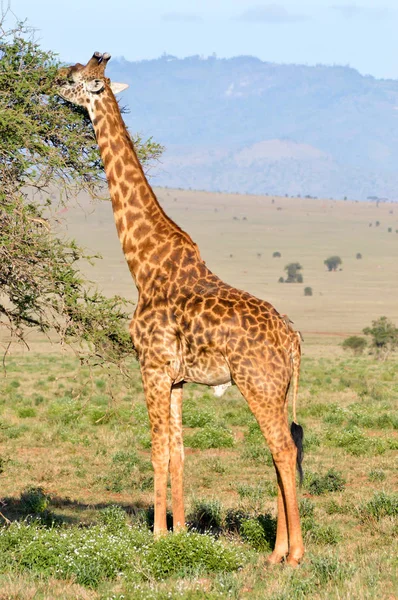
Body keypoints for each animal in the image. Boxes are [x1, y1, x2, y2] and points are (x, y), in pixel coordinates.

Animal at [56, 52, 304, 568]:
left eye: (73, 78)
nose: (47, 82)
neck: (143, 264)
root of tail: (293, 339)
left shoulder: (150, 366)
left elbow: (156, 451)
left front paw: (155, 536)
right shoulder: (176, 378)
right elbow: (179, 452)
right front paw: (182, 532)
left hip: (257, 383)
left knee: (283, 449)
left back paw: (294, 556)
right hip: (275, 388)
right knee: (282, 448)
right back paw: (274, 553)